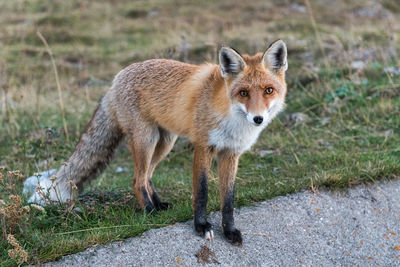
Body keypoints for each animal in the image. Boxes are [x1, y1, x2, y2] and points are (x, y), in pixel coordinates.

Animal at [30, 38, 288, 246]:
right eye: (243, 93)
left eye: (268, 90)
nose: (258, 118)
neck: (230, 118)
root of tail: (115, 80)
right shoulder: (203, 146)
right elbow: (202, 191)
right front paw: (201, 227)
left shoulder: (231, 153)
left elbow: (228, 198)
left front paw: (230, 231)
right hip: (147, 139)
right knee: (137, 179)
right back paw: (149, 211)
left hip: (165, 142)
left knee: (147, 176)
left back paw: (158, 204)